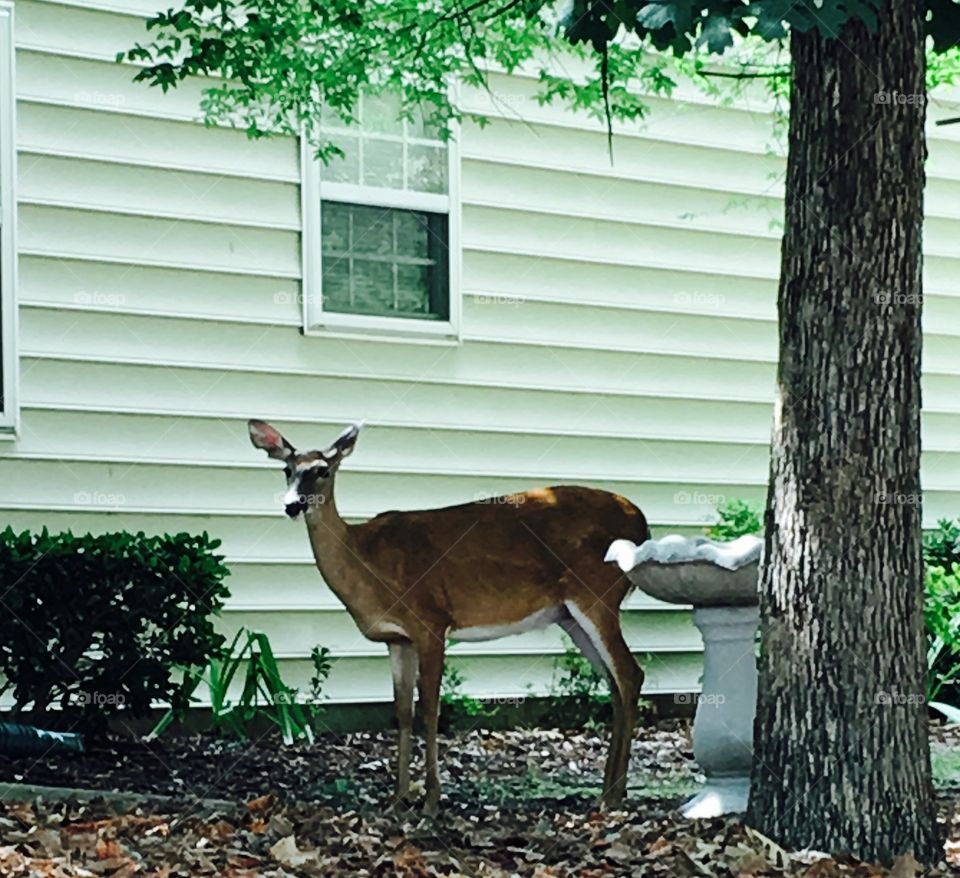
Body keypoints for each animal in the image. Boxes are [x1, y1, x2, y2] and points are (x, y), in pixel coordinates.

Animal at [248, 419, 650, 813]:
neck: (366, 560)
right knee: (615, 682)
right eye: (287, 469)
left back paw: (613, 797)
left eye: (323, 470)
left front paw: (430, 803)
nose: (293, 505)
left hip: (596, 593)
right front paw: (397, 799)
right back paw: (608, 790)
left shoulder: (431, 621)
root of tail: (642, 523)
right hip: (570, 615)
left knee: (630, 674)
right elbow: (402, 711)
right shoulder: (398, 638)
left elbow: (430, 709)